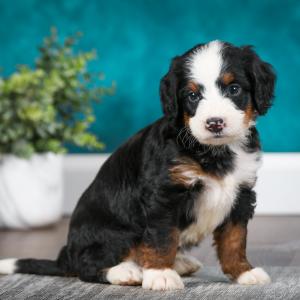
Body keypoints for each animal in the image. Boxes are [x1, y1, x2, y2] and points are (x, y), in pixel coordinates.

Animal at [0, 40, 276, 290]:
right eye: (193, 95)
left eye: (234, 89)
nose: (215, 123)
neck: (213, 151)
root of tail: (65, 256)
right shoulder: (163, 194)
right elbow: (162, 238)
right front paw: (161, 274)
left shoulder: (241, 193)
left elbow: (234, 239)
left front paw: (243, 272)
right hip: (114, 233)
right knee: (88, 266)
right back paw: (127, 272)